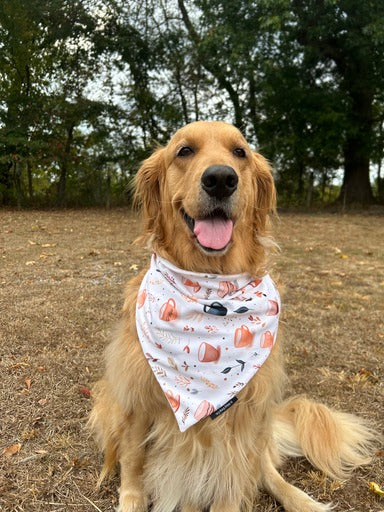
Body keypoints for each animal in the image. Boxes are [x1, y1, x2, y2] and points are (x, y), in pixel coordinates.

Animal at [89, 121, 376, 512]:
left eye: (240, 152)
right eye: (184, 151)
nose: (221, 179)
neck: (210, 289)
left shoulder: (247, 414)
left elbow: (234, 482)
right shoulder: (136, 397)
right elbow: (133, 463)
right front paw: (131, 500)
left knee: (265, 471)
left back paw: (303, 500)